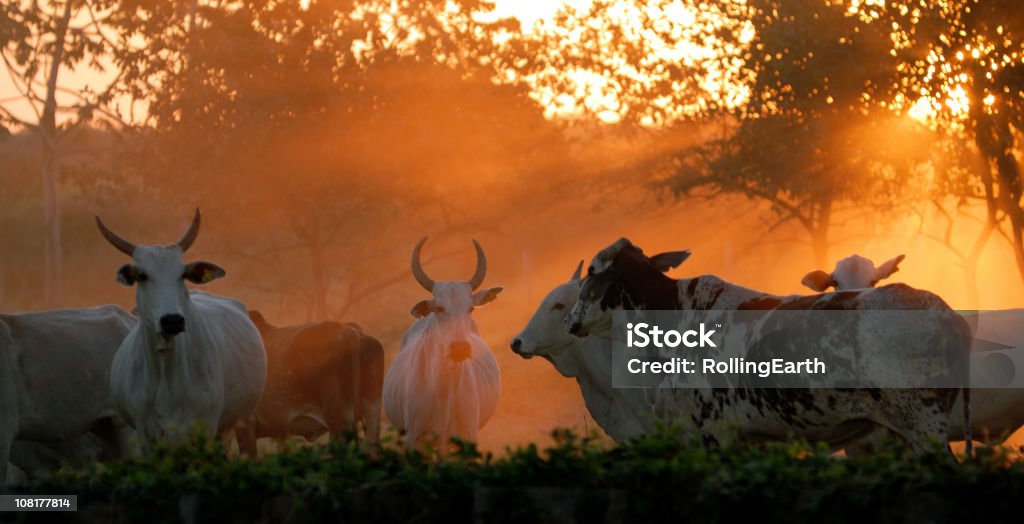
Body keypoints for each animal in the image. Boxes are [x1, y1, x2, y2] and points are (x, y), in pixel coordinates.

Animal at [95, 208, 268, 450]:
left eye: (182, 274)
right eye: (142, 275)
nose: (172, 320)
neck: (165, 370)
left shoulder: (205, 428)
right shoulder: (145, 434)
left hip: (227, 428)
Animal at [382, 237, 501, 450]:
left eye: (470, 308)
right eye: (439, 308)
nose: (460, 348)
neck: (444, 389)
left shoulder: (469, 435)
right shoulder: (413, 438)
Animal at [565, 238, 970, 454]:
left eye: (591, 275)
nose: (571, 319)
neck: (675, 317)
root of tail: (947, 313)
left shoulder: (714, 435)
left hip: (922, 424)